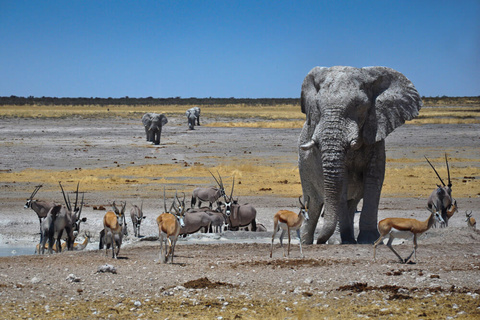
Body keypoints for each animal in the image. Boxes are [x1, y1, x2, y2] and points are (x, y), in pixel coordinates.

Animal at [298, 65, 422, 245]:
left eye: (358, 105)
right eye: (318, 106)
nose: (320, 241)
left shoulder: (376, 131)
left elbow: (374, 178)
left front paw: (370, 240)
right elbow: (342, 182)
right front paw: (339, 241)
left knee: (349, 203)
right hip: (304, 170)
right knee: (313, 204)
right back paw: (307, 242)